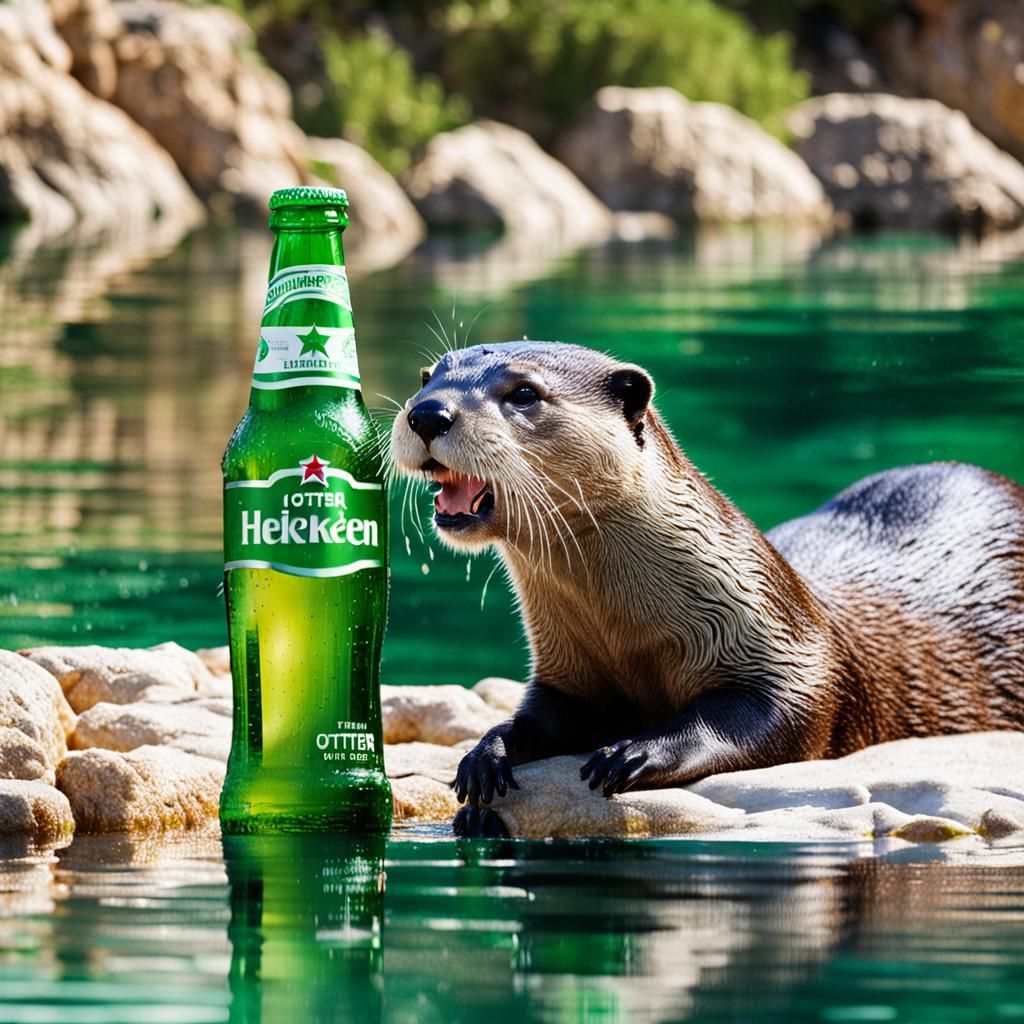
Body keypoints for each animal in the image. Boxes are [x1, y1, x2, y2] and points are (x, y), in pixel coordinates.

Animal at [389, 341, 1024, 837]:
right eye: (427, 376)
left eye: (523, 392)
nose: (428, 413)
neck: (632, 636)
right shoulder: (568, 672)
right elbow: (539, 718)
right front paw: (486, 753)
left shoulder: (792, 651)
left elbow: (772, 716)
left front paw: (636, 751)